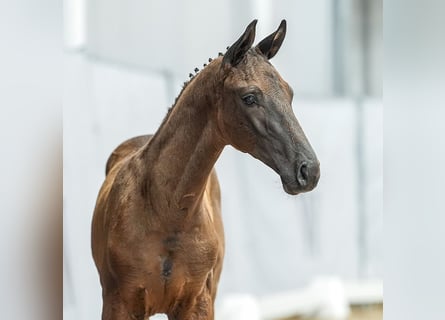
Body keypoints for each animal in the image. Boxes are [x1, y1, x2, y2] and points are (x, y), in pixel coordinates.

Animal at [91, 20, 320, 320]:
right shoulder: (119, 304)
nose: (309, 170)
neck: (165, 214)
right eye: (249, 97)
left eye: (289, 93)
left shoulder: (197, 303)